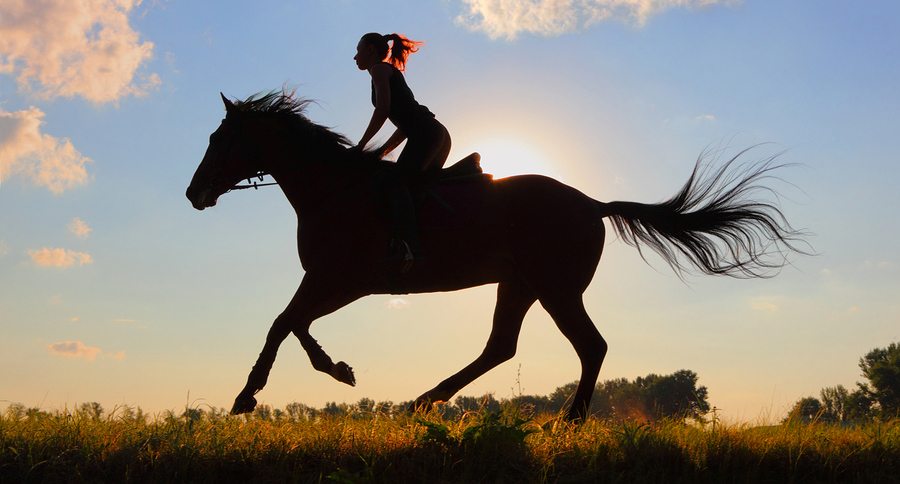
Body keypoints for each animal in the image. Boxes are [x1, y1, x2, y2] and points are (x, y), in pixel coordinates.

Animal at [186, 91, 804, 420]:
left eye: (218, 139)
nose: (194, 193)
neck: (333, 188)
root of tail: (593, 203)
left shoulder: (345, 278)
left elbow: (284, 321)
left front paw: (250, 395)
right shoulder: (330, 278)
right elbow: (292, 322)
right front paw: (334, 370)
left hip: (555, 287)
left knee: (590, 346)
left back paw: (568, 420)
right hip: (521, 285)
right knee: (501, 347)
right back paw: (423, 401)